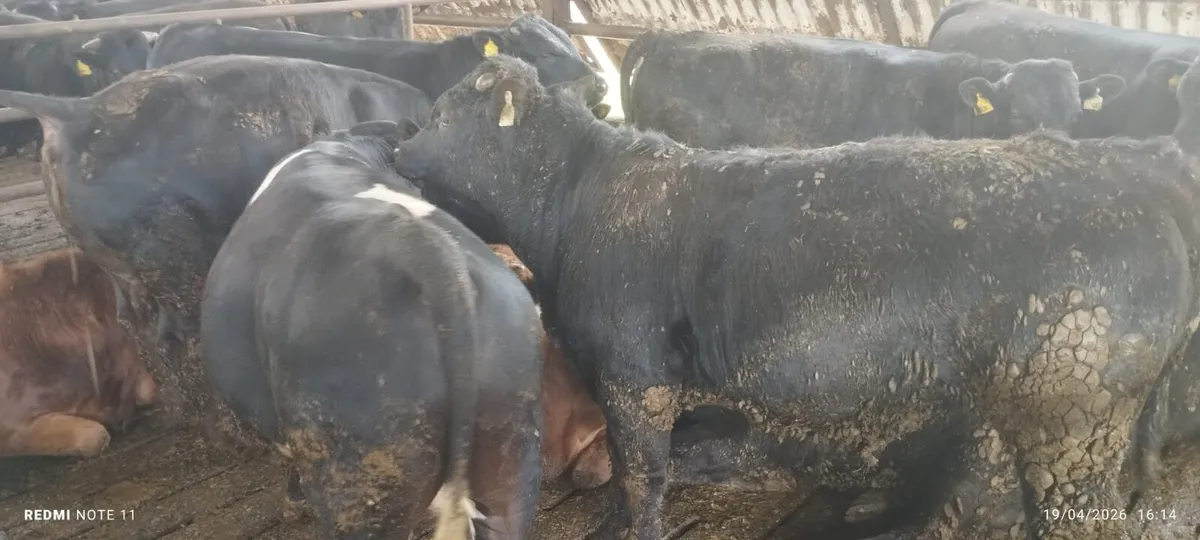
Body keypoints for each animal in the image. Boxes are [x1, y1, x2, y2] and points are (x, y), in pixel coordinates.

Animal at [0, 54, 431, 433]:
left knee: (136, 328)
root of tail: (79, 110)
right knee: (179, 337)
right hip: (172, 259)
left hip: (116, 266)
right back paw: (228, 430)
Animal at [392, 55, 1200, 540]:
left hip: (1075, 423)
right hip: (1006, 412)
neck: (577, 200)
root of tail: (1133, 168)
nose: (398, 150)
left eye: (445, 115)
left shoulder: (633, 378)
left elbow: (641, 473)